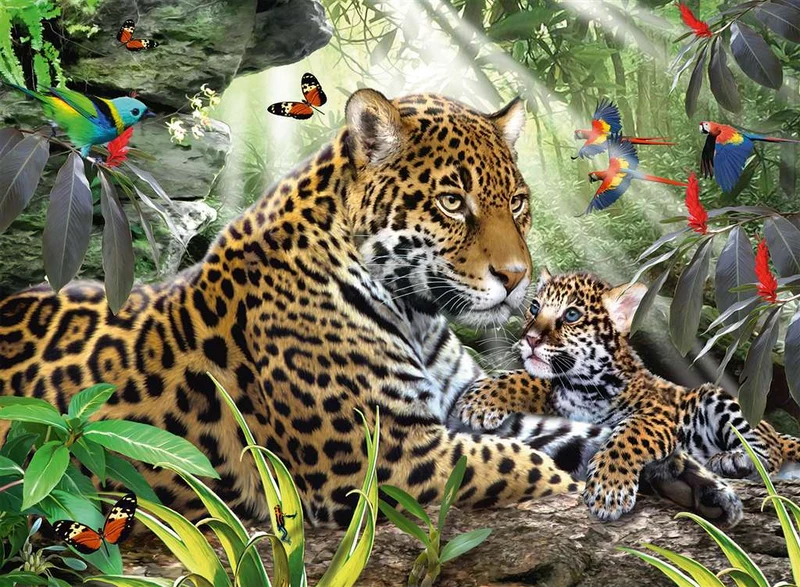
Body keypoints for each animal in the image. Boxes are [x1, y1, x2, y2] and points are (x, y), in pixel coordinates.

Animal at [0, 88, 741, 527]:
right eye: (452, 203)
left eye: (518, 202)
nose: (518, 280)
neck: (416, 309)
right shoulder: (379, 455)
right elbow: (522, 461)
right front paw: (585, 483)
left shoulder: (455, 408)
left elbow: (563, 433)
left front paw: (691, 477)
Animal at [456, 269, 798, 522]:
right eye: (535, 308)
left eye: (572, 315)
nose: (529, 339)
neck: (581, 386)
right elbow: (529, 378)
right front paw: (480, 399)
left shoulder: (658, 411)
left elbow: (628, 434)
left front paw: (609, 489)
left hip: (715, 397)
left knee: (770, 453)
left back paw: (733, 460)